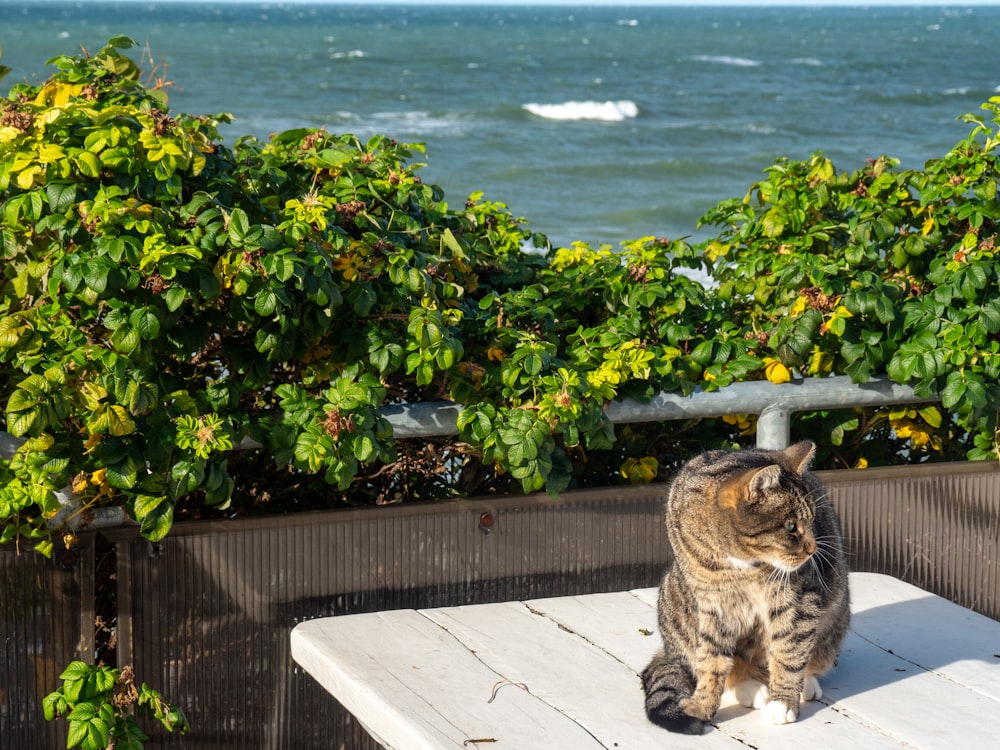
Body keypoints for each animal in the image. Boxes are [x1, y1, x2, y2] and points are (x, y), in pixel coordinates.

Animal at [640, 440, 852, 736]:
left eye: (813, 520)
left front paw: (782, 701)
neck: (738, 565)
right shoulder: (713, 605)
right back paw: (751, 686)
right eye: (791, 526)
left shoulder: (798, 599)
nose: (813, 549)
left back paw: (801, 684)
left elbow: (789, 650)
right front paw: (701, 705)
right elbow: (712, 660)